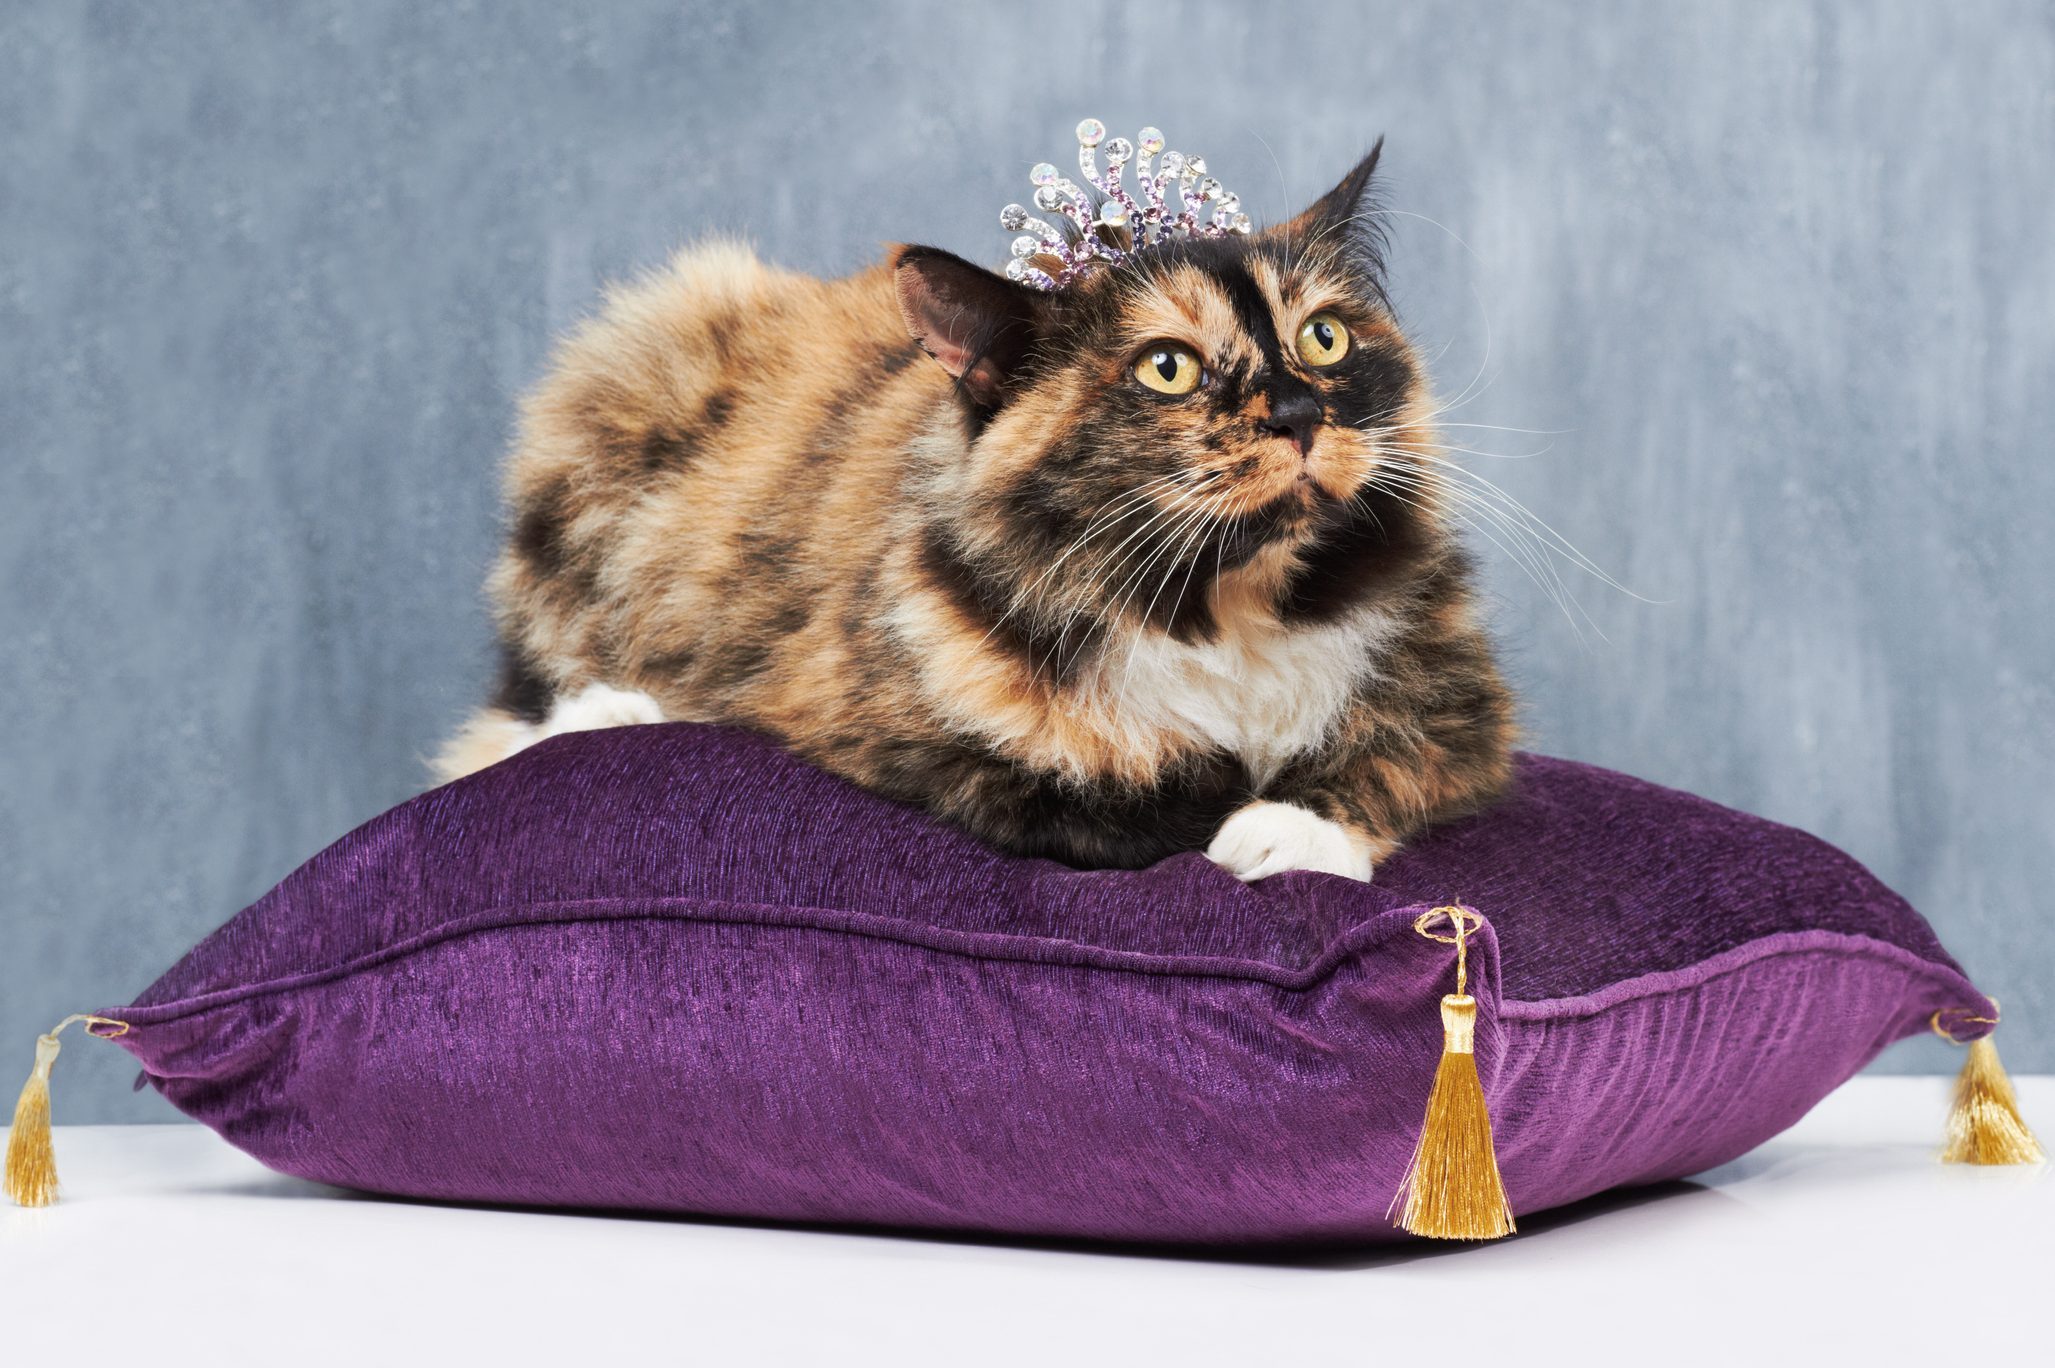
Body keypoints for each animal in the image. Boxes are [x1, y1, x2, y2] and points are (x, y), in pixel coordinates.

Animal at [429, 138, 1512, 879]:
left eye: (1324, 338)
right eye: (1168, 367)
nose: (1296, 412)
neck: (1222, 599)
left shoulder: (1460, 707)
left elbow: (1388, 755)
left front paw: (1292, 830)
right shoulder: (900, 738)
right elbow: (1140, 791)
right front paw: (1241, 814)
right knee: (512, 714)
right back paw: (610, 710)